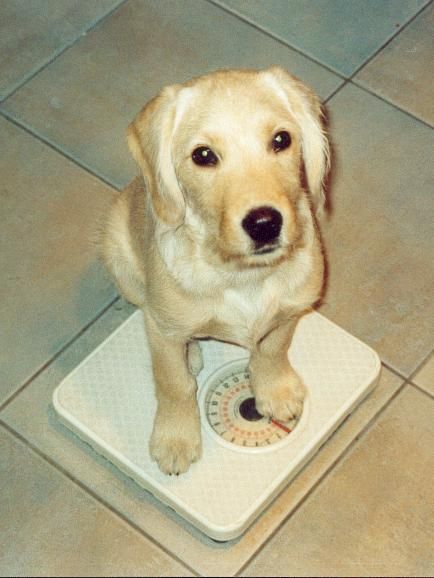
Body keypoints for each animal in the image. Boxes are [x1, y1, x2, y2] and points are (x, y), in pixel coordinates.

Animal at [101, 66, 328, 472]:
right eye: (203, 155)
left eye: (281, 139)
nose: (265, 223)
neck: (244, 275)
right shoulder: (162, 328)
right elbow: (172, 382)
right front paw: (175, 437)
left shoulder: (291, 311)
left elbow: (273, 349)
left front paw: (275, 391)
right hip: (121, 260)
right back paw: (190, 352)